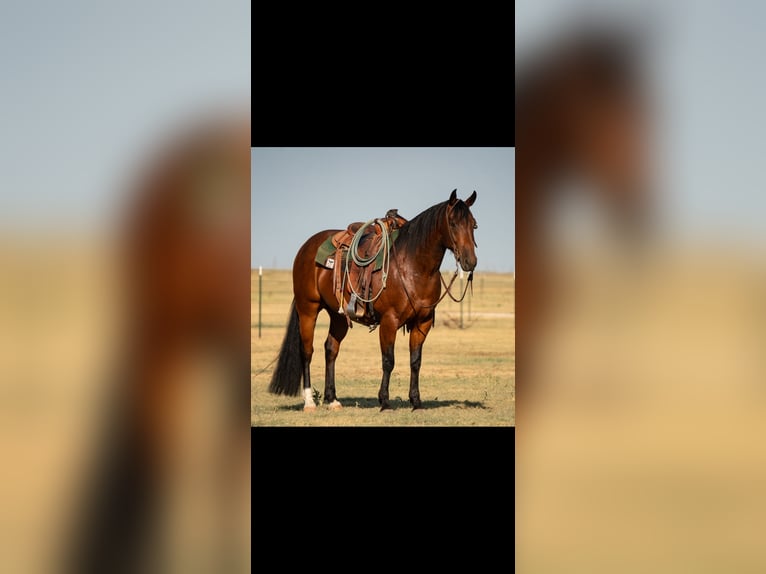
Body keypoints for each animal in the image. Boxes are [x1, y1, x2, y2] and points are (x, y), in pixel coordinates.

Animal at [269, 189, 478, 411]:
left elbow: (415, 361)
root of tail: (306, 247)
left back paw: (332, 399)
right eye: (453, 223)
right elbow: (388, 361)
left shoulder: (423, 322)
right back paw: (309, 402)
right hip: (308, 309)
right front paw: (385, 401)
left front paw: (416, 401)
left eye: (474, 224)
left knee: (331, 350)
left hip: (338, 316)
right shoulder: (389, 321)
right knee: (307, 351)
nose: (470, 261)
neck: (412, 267)